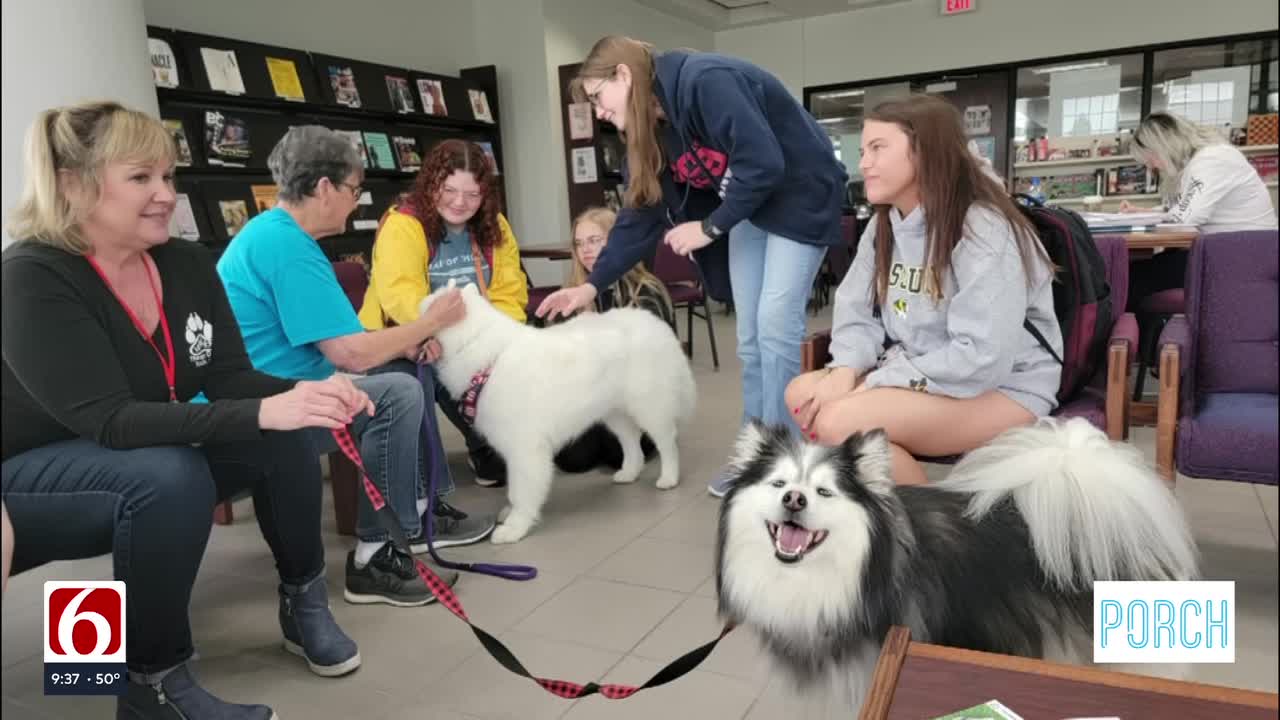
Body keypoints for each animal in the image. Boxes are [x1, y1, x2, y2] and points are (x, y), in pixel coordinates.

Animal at [419, 283, 701, 540]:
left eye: (426, 309)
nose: (414, 320)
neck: (482, 353)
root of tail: (656, 323)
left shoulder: (525, 449)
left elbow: (521, 491)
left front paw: (514, 527)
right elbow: (515, 489)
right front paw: (510, 514)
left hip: (649, 407)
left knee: (667, 443)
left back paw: (669, 478)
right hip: (614, 413)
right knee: (632, 442)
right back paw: (629, 472)